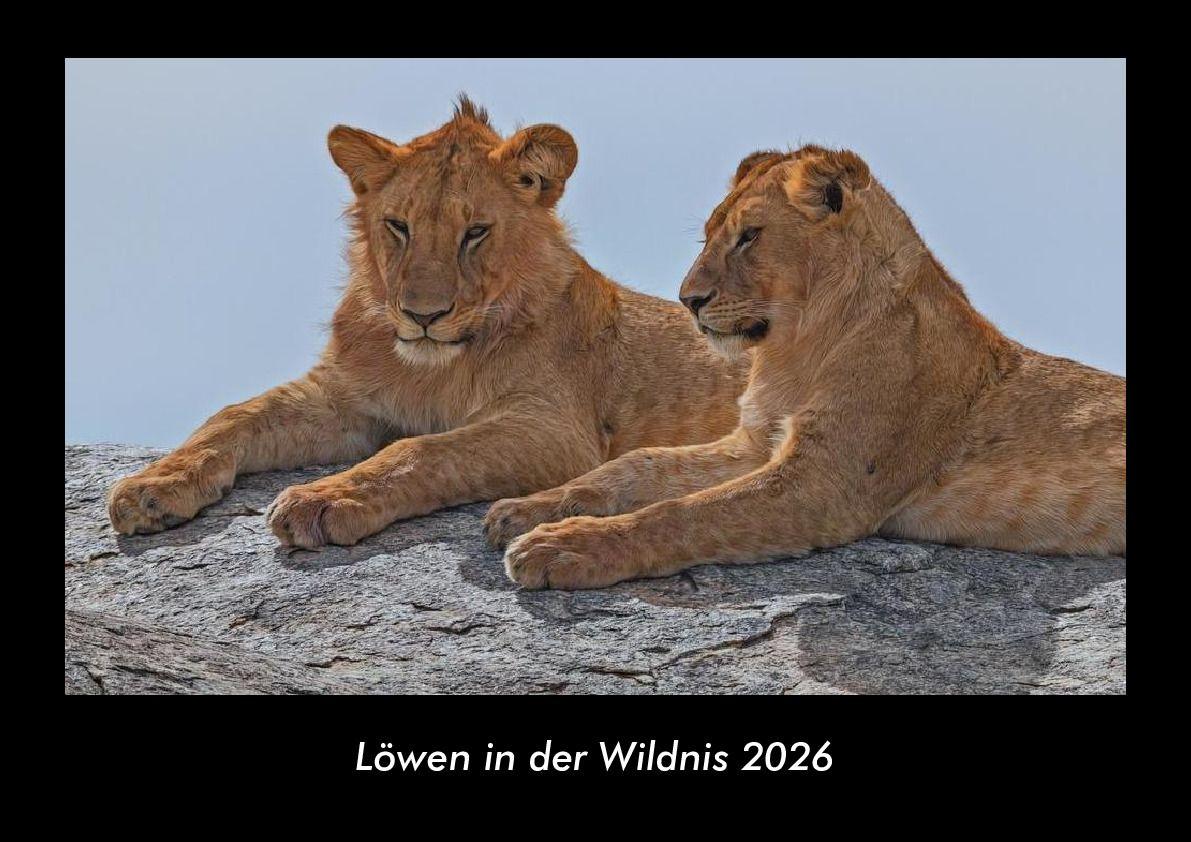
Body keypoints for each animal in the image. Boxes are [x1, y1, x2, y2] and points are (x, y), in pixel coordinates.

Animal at [107, 98, 748, 547]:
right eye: (399, 226)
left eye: (476, 232)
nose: (423, 315)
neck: (432, 367)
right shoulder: (344, 399)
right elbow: (234, 416)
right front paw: (152, 486)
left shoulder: (556, 431)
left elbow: (420, 450)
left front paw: (323, 500)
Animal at [490, 144, 1126, 589]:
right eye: (707, 236)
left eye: (749, 236)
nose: (687, 299)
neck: (796, 350)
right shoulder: (754, 443)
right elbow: (636, 466)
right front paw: (528, 508)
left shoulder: (826, 484)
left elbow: (682, 513)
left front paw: (563, 547)